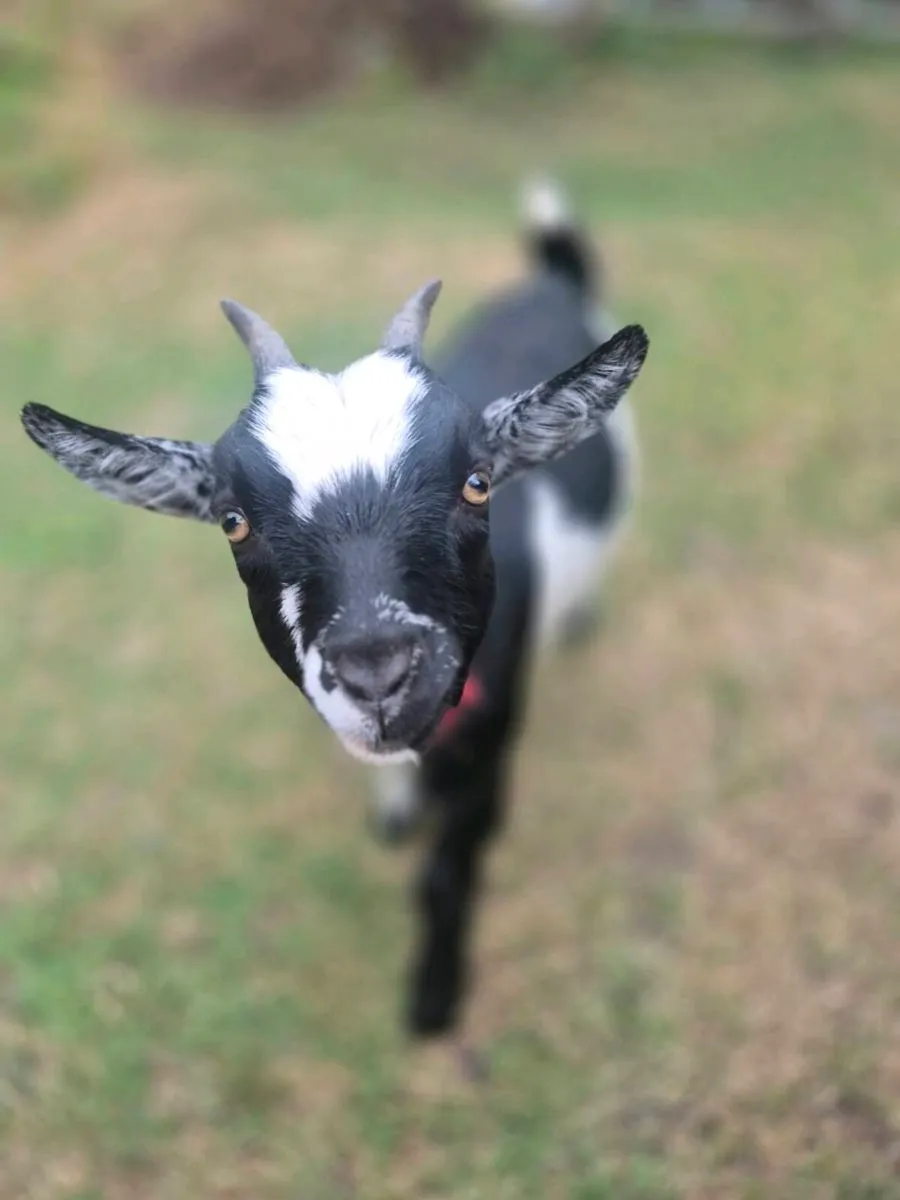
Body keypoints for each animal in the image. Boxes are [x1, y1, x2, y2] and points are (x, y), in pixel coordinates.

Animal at [20, 181, 648, 1040]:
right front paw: (395, 817)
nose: (377, 671)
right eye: (232, 519)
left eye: (477, 482)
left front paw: (434, 1000)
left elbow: (451, 868)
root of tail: (552, 279)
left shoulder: (493, 737)